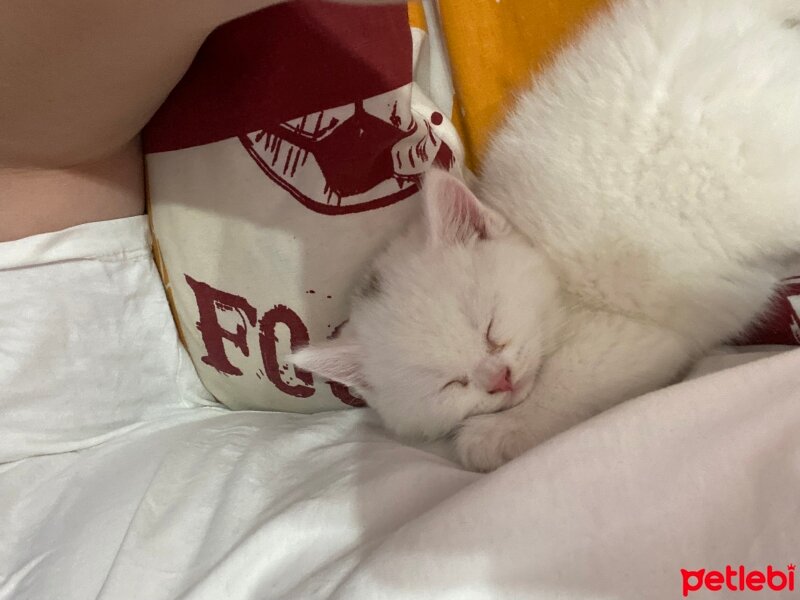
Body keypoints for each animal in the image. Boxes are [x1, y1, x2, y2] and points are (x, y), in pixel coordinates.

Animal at [290, 0, 800, 472]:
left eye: (489, 327)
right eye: (450, 382)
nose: (499, 378)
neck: (547, 265)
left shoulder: (627, 334)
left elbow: (569, 385)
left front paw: (494, 435)